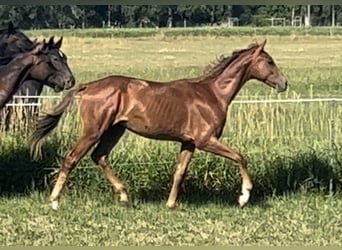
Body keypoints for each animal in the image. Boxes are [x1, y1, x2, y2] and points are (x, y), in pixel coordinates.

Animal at [30, 40, 288, 210]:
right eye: (269, 61)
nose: (284, 83)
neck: (212, 94)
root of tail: (89, 86)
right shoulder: (206, 140)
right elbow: (240, 157)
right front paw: (244, 197)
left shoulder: (189, 142)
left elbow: (180, 172)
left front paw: (171, 204)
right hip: (94, 130)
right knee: (72, 158)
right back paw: (54, 201)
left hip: (115, 130)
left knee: (99, 156)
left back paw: (125, 197)